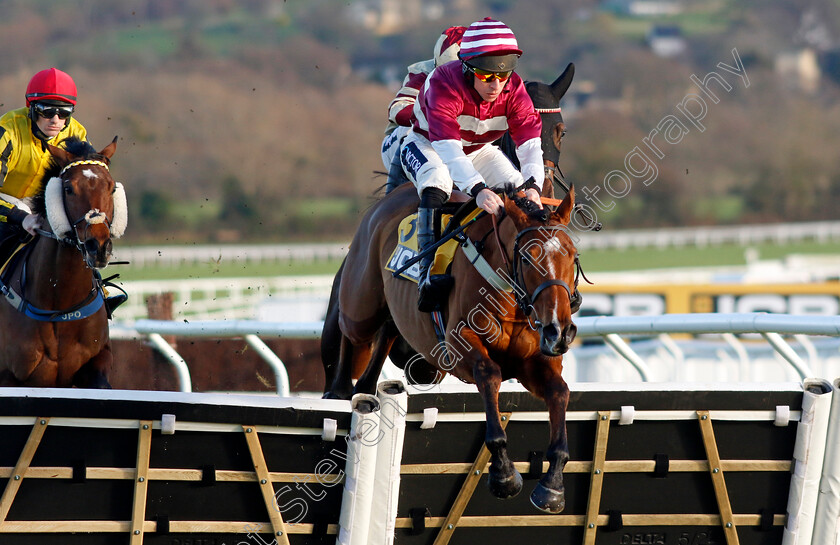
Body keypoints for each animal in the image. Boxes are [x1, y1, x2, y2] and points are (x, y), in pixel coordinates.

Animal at [0, 137, 126, 386]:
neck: (60, 303)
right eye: (68, 189)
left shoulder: (98, 360)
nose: (98, 247)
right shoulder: (11, 377)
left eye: (111, 187)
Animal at [334, 185, 576, 512]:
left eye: (573, 256)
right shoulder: (459, 348)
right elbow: (489, 373)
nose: (559, 330)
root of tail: (395, 192)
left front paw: (553, 484)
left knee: (381, 345)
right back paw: (337, 390)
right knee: (348, 329)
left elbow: (560, 392)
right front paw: (503, 472)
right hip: (361, 306)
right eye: (527, 257)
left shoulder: (535, 360)